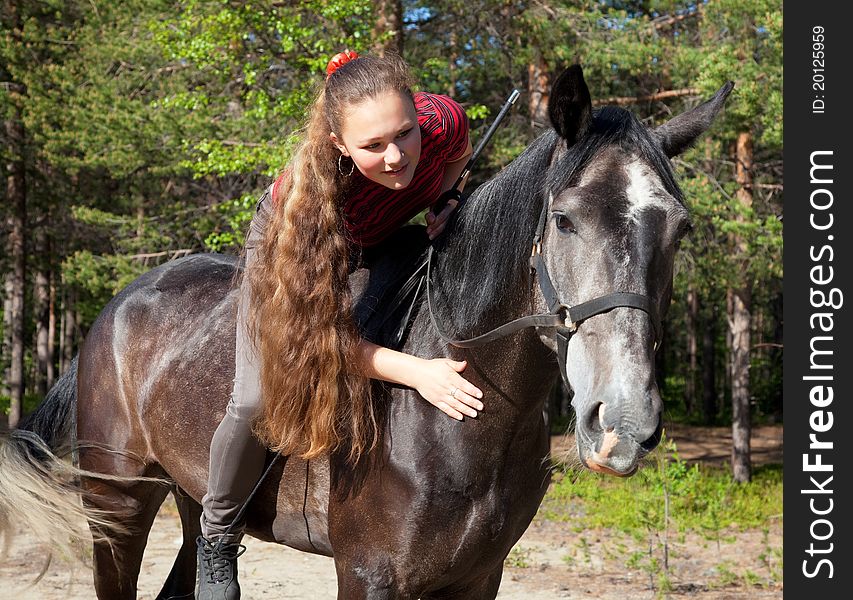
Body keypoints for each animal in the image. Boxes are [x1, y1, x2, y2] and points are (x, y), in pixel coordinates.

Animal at [1, 63, 732, 596]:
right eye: (564, 219)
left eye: (680, 227)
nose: (623, 422)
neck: (468, 422)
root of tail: (118, 306)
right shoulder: (368, 573)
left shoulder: (477, 577)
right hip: (117, 504)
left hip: (186, 497)